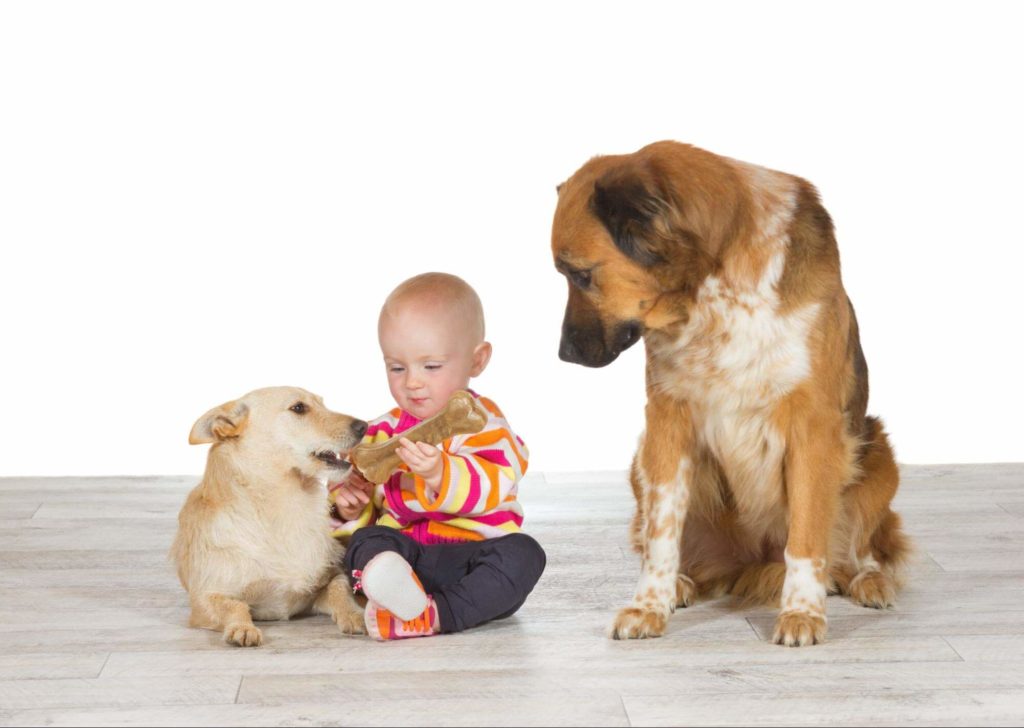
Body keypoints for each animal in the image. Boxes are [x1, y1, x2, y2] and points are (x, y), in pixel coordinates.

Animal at [172, 387, 368, 651]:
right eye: (299, 408)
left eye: (322, 404)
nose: (364, 426)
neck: (282, 509)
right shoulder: (204, 597)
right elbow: (234, 606)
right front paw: (242, 628)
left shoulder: (330, 577)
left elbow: (341, 590)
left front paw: (354, 613)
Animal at [552, 139, 913, 647]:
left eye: (580, 274)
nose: (564, 354)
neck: (715, 286)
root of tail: (750, 561)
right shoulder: (667, 420)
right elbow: (661, 533)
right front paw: (649, 606)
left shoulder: (814, 427)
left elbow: (806, 536)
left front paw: (802, 613)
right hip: (641, 459)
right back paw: (682, 583)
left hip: (876, 454)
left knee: (858, 550)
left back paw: (868, 580)